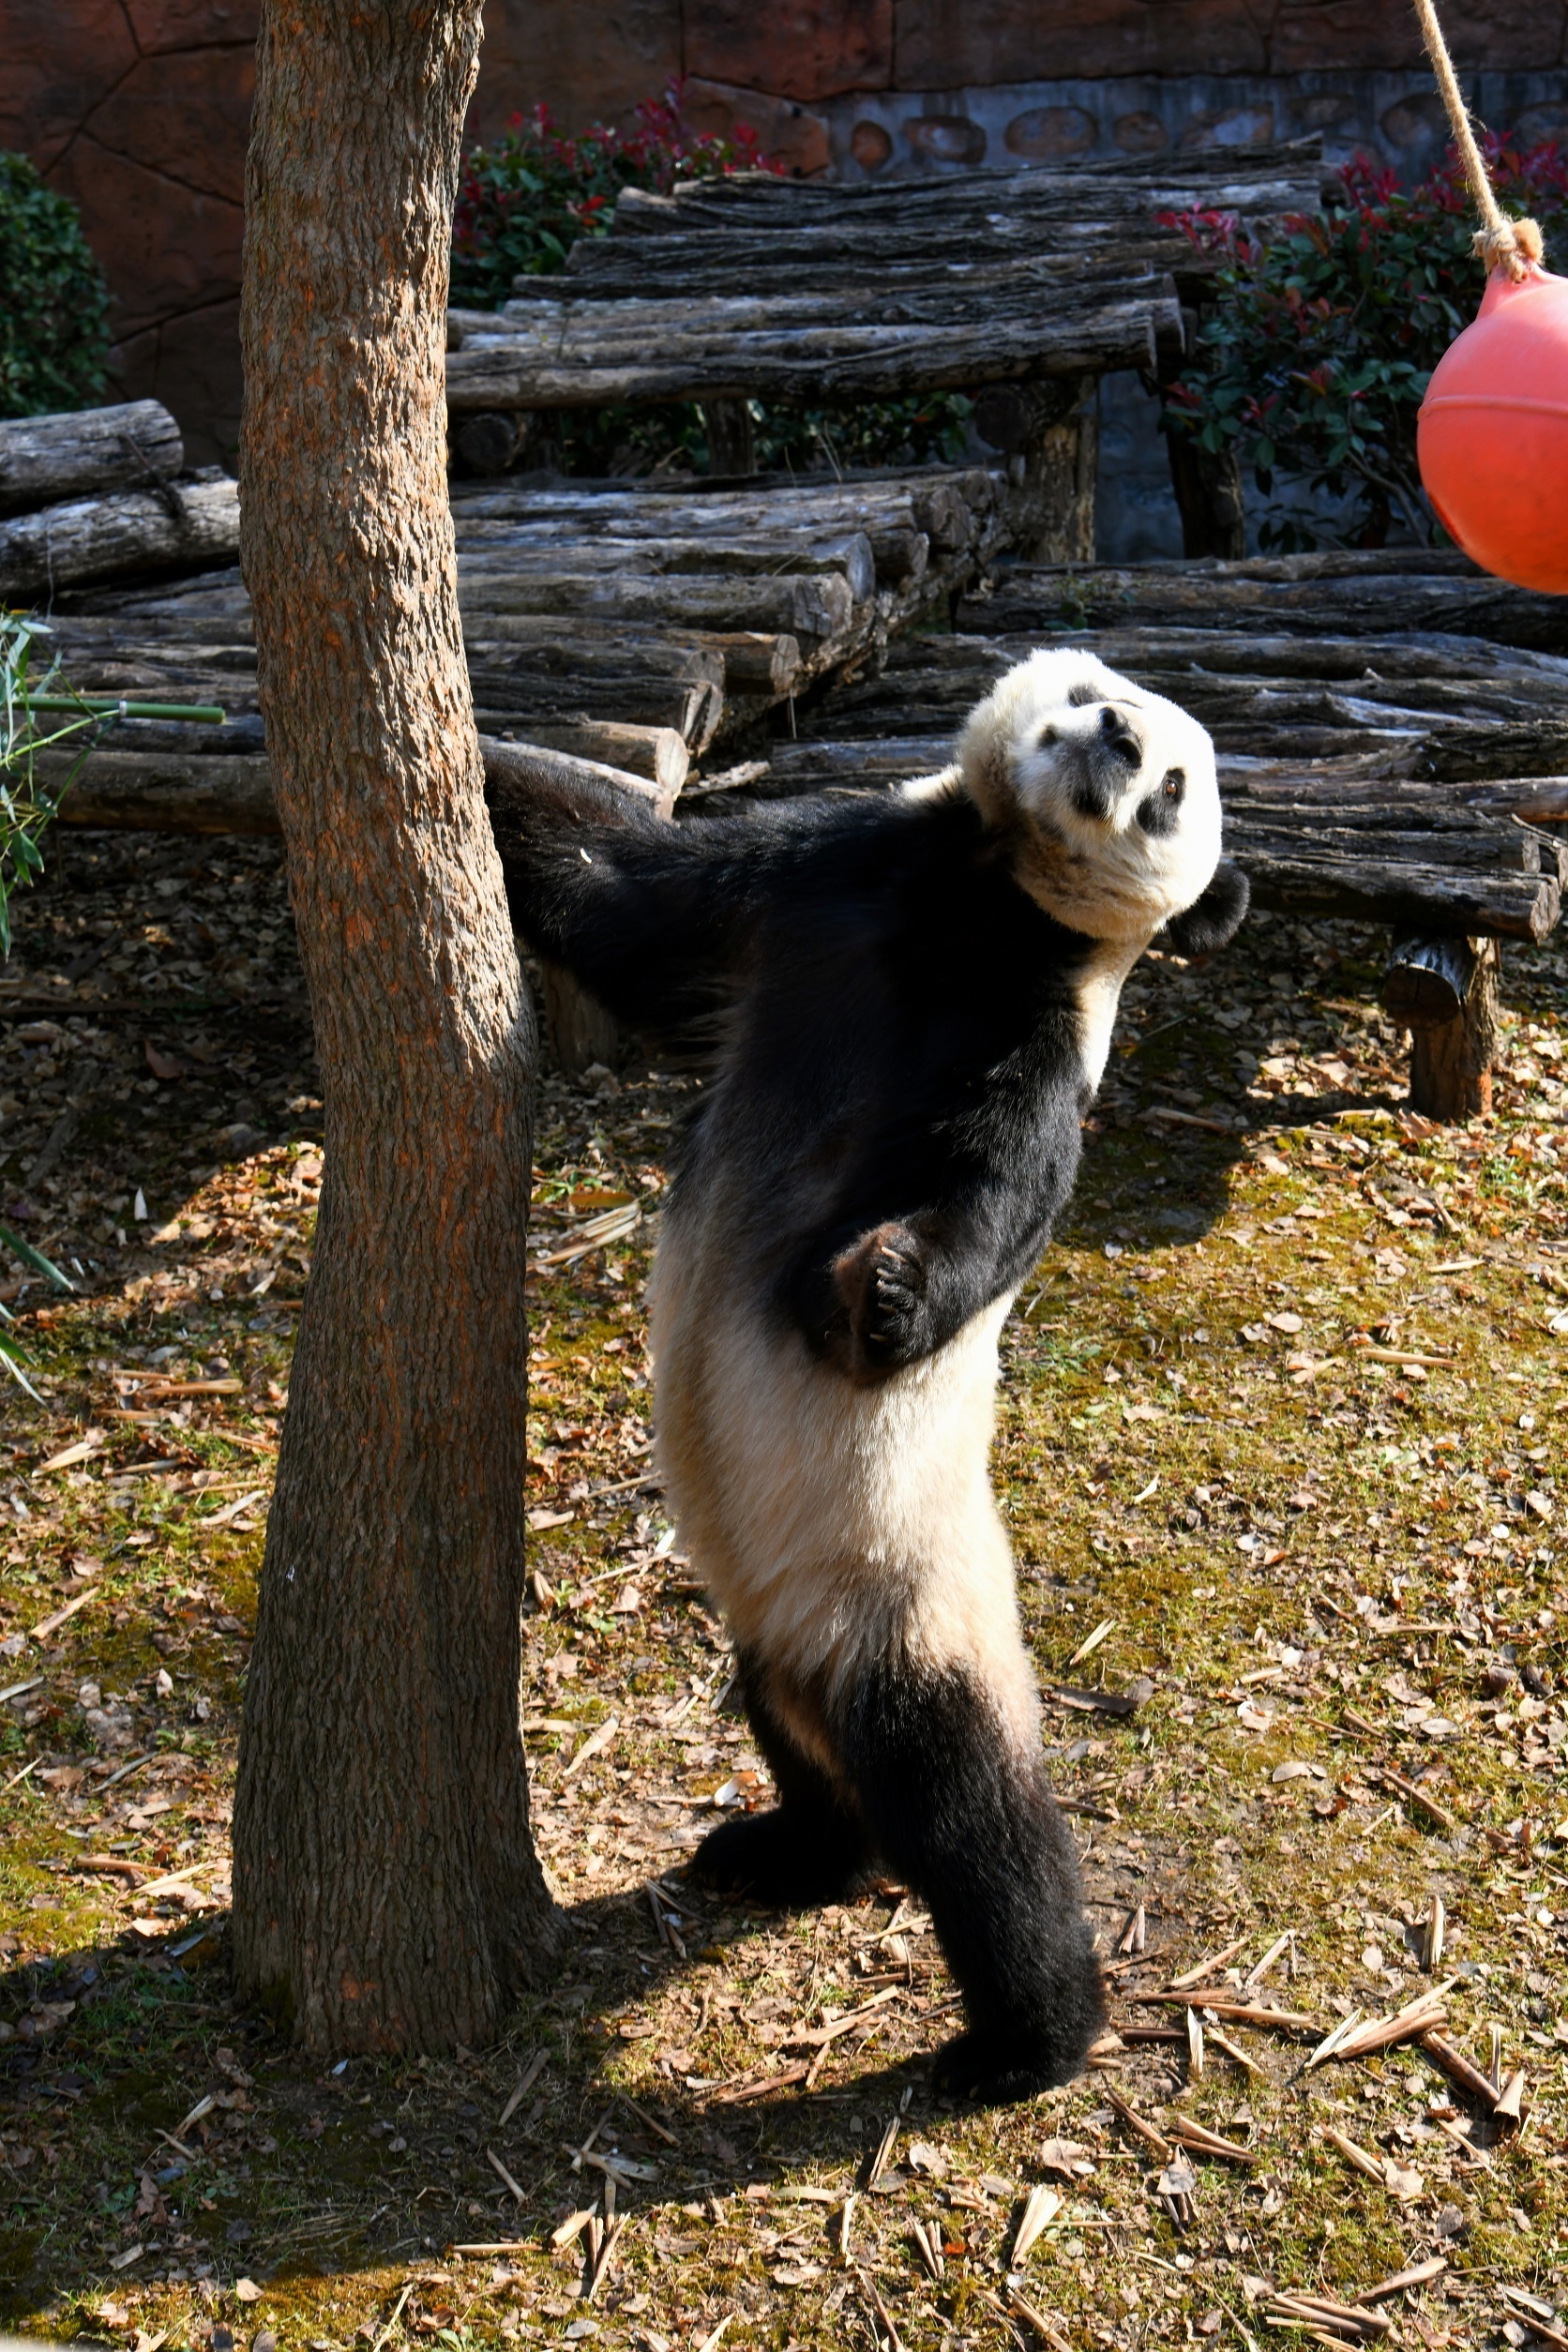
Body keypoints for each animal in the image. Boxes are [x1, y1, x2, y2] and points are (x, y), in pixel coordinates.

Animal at [490, 649, 1250, 2117]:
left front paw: (882, 1295)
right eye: (1095, 697)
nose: (1115, 747)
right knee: (799, 1741)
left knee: (973, 1822)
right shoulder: (821, 876)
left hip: (912, 1602)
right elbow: (620, 898)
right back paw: (788, 1855)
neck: (989, 884)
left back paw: (1029, 2040)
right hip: (778, 1622)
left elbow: (997, 1189)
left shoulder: (1037, 1020)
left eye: (1173, 787)